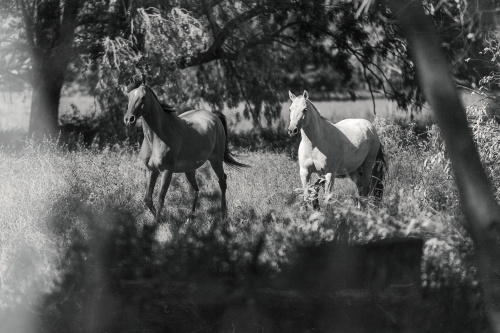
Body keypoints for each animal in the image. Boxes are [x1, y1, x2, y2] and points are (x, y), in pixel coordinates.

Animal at [125, 75, 246, 220]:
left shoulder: (167, 171)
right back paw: (190, 218)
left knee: (222, 182)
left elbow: (160, 199)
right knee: (196, 190)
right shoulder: (151, 170)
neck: (156, 138)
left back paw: (223, 214)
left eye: (143, 97)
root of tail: (214, 116)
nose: (129, 119)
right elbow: (148, 199)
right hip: (190, 169)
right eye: (129, 96)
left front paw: (159, 221)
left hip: (216, 161)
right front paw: (158, 219)